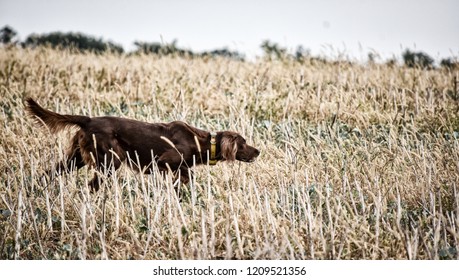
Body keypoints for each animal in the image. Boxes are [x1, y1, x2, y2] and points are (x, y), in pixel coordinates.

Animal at [25, 97, 260, 191]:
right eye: (244, 143)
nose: (258, 151)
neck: (199, 141)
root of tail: (88, 119)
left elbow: (186, 177)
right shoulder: (162, 162)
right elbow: (185, 176)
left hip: (77, 158)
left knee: (50, 172)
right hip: (110, 160)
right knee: (92, 184)